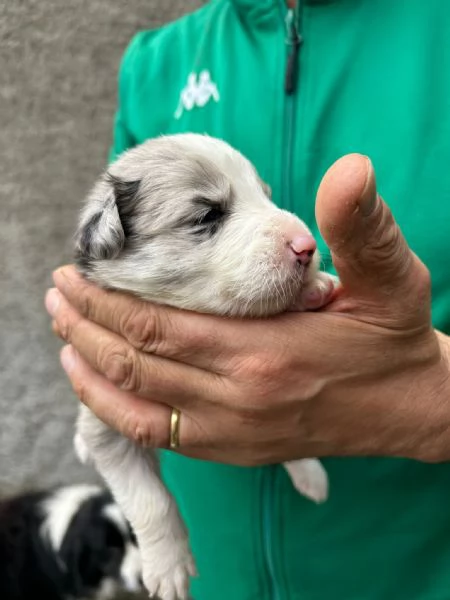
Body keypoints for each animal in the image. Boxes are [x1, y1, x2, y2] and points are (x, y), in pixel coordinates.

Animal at [72, 135, 338, 600]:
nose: (307, 245)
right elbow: (150, 500)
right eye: (208, 214)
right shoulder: (109, 417)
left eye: (265, 196)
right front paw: (168, 567)